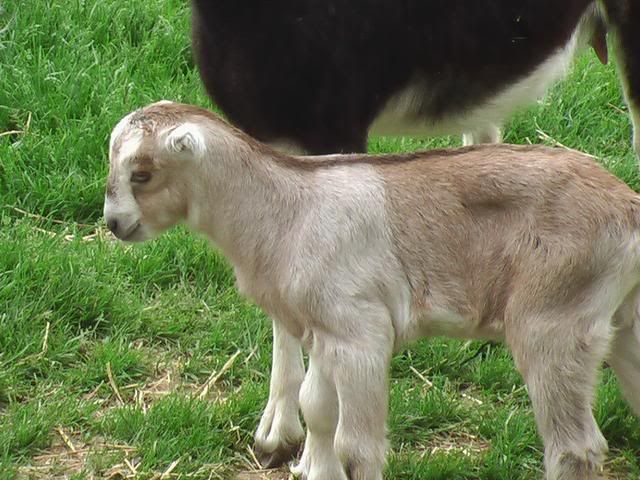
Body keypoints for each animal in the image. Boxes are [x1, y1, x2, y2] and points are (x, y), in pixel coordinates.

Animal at [105, 101, 640, 480]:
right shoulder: (324, 330)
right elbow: (316, 409)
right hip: (623, 319)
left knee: (574, 449)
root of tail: (627, 206)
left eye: (142, 173)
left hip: (554, 318)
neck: (287, 209)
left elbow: (355, 449)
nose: (114, 223)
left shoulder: (360, 333)